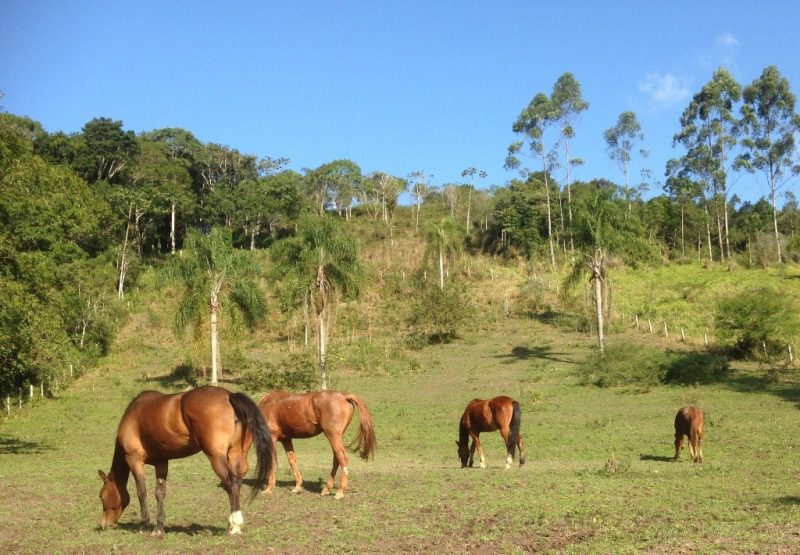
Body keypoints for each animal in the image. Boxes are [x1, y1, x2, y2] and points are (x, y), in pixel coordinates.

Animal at [95, 386, 272, 536]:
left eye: (101, 495)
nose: (104, 524)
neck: (134, 415)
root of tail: (229, 396)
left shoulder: (134, 460)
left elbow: (141, 492)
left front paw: (144, 525)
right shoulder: (161, 462)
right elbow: (160, 493)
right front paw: (158, 528)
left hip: (216, 457)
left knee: (232, 483)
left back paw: (235, 526)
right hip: (236, 456)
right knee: (238, 483)